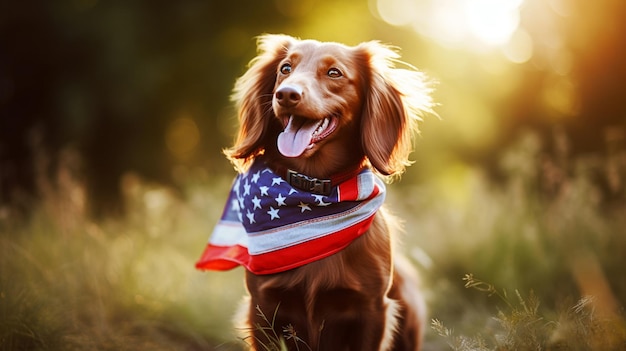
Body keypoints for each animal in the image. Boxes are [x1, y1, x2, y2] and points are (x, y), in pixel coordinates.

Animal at [197, 33, 432, 351]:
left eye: (334, 73)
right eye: (285, 68)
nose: (286, 94)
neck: (311, 194)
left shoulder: (372, 309)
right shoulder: (262, 308)